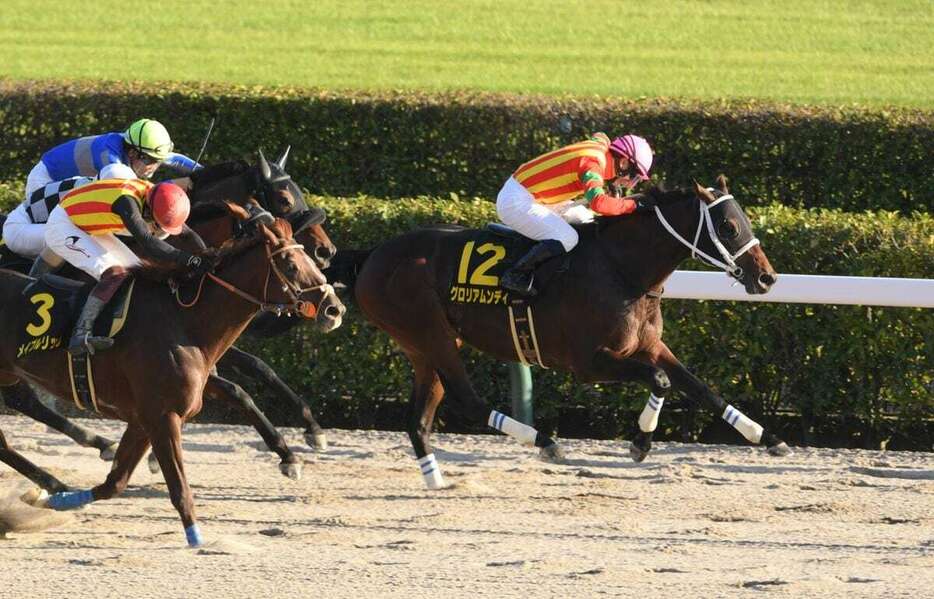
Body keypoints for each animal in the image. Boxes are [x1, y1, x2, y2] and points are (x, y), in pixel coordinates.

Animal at [0, 207, 344, 548]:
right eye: (290, 264)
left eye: (309, 260)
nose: (334, 309)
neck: (183, 319)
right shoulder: (162, 416)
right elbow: (177, 484)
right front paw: (195, 536)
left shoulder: (144, 418)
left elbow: (115, 482)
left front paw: (57, 501)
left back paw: (57, 483)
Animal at [332, 176, 792, 490]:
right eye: (729, 226)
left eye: (745, 220)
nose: (766, 278)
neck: (620, 269)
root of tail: (373, 254)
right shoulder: (588, 362)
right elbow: (660, 381)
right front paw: (640, 442)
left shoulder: (648, 344)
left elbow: (699, 388)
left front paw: (768, 437)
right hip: (430, 333)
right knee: (465, 399)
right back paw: (545, 441)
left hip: (423, 344)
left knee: (420, 419)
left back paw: (436, 479)